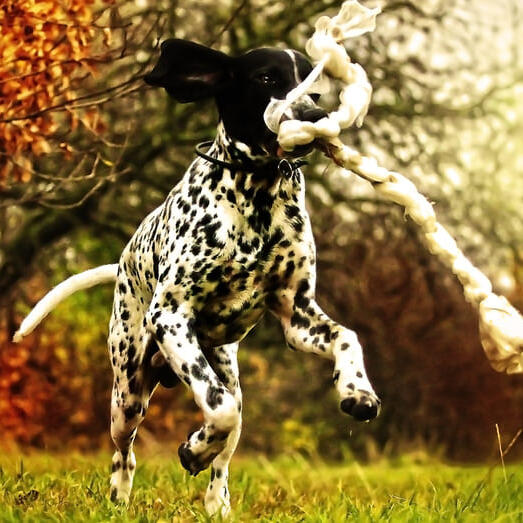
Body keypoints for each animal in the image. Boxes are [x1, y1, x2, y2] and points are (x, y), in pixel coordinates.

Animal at [13, 40, 380, 516]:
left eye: (315, 85)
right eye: (267, 77)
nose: (314, 116)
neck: (256, 196)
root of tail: (122, 262)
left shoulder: (298, 317)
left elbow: (346, 337)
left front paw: (357, 392)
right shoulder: (171, 317)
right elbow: (218, 409)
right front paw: (193, 449)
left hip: (226, 374)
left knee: (226, 447)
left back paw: (216, 500)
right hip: (127, 395)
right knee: (126, 450)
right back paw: (121, 498)